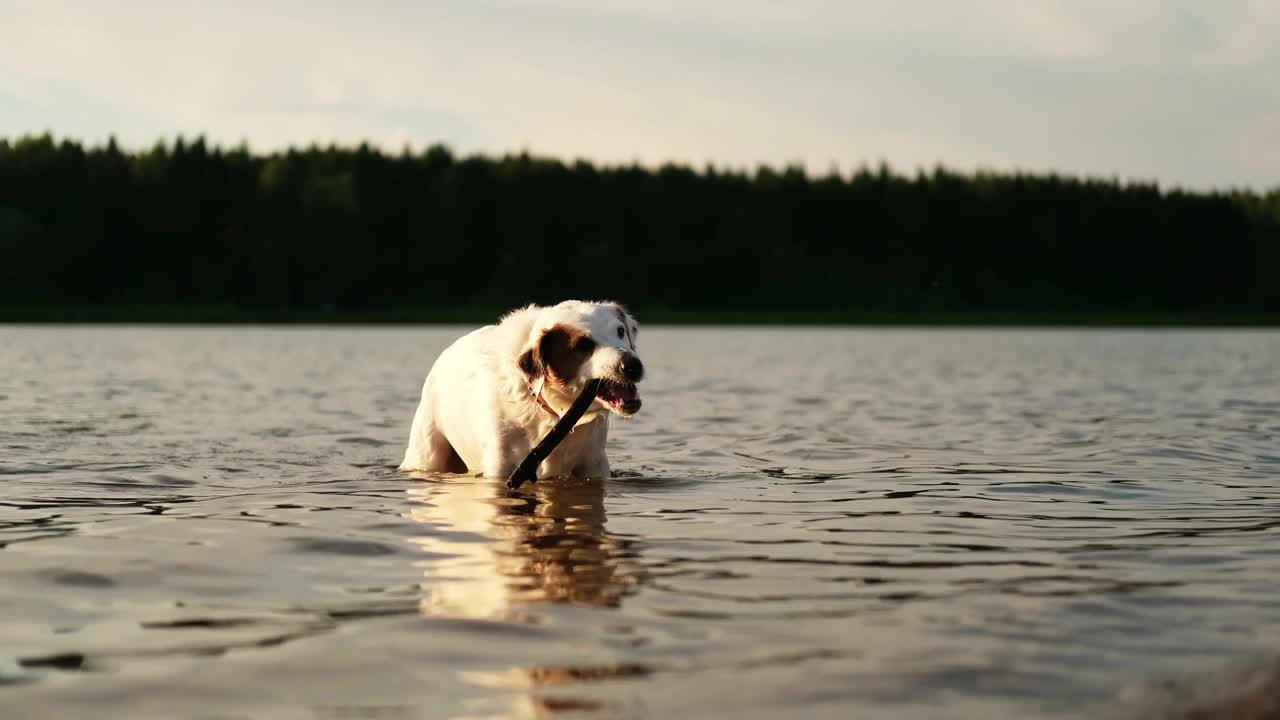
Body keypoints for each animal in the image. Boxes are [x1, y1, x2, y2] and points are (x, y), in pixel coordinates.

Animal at [396, 299, 640, 479]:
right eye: (583, 345)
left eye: (620, 331)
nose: (632, 365)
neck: (553, 414)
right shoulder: (500, 468)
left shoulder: (593, 463)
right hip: (427, 451)